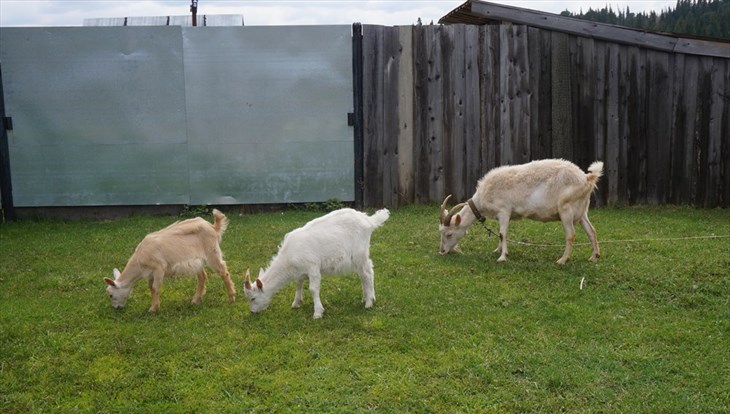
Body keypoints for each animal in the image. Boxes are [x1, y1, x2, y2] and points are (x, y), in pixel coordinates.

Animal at [104, 209, 235, 312]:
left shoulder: (159, 268)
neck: (139, 261)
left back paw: (231, 298)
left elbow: (156, 287)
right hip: (197, 260)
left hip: (212, 252)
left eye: (111, 295)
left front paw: (153, 309)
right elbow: (151, 288)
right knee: (202, 277)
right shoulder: (150, 273)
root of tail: (213, 227)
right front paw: (154, 305)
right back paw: (195, 300)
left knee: (224, 272)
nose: (116, 308)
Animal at [242, 209, 390, 318]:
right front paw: (296, 303)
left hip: (360, 253)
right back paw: (366, 298)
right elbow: (298, 284)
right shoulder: (300, 271)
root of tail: (369, 220)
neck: (288, 260)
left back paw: (369, 302)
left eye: (253, 298)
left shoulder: (312, 266)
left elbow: (313, 289)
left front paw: (318, 313)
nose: (253, 312)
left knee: (367, 273)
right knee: (364, 275)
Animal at [438, 160, 604, 264]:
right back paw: (594, 257)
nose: (442, 251)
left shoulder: (504, 210)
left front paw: (502, 257)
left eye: (449, 234)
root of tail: (587, 178)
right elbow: (502, 234)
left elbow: (502, 234)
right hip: (582, 211)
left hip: (566, 209)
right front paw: (498, 250)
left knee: (571, 234)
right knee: (592, 231)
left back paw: (562, 260)